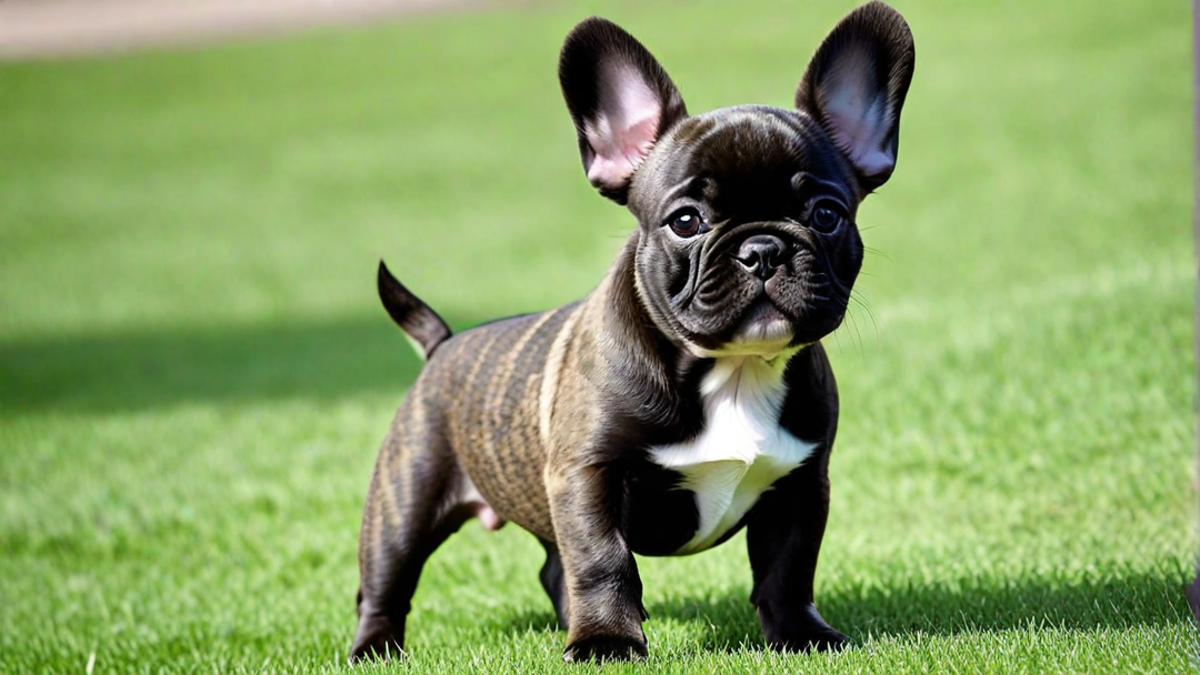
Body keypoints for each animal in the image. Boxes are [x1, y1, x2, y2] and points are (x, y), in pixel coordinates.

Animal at [350, 0, 912, 658]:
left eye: (826, 215)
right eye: (686, 221)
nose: (763, 249)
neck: (734, 369)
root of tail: (443, 345)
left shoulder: (800, 484)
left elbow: (789, 569)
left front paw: (800, 634)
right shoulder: (587, 476)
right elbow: (602, 559)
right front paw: (607, 642)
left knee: (553, 568)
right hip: (406, 497)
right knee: (387, 579)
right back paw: (374, 648)